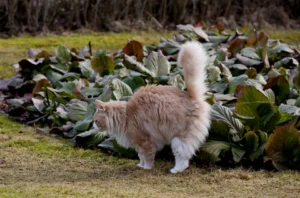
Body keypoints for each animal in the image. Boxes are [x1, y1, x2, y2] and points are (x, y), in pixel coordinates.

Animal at [92, 41, 210, 173]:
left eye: (96, 120)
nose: (93, 126)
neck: (125, 116)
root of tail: (192, 96)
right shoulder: (138, 145)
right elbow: (141, 157)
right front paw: (141, 165)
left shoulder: (145, 142)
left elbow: (147, 157)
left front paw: (147, 168)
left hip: (179, 140)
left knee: (183, 158)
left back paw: (175, 170)